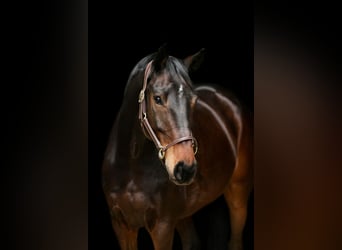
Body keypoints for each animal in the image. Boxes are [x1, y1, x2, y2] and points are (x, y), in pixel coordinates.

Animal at [101, 47, 254, 250]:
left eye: (194, 101)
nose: (185, 168)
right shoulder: (121, 226)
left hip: (238, 191)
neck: (131, 167)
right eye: (157, 99)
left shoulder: (162, 227)